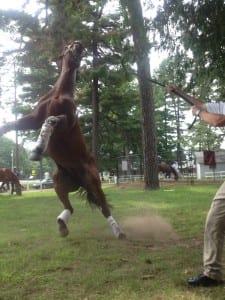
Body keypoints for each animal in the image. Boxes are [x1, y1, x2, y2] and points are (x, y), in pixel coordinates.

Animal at [0, 41, 125, 239]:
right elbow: (13, 124)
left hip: (94, 182)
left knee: (104, 208)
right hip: (59, 185)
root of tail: (79, 180)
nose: (79, 45)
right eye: (68, 45)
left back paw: (119, 232)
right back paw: (62, 226)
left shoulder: (66, 122)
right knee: (70, 208)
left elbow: (51, 120)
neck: (59, 93)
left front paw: (37, 149)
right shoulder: (34, 119)